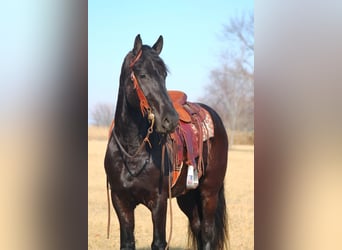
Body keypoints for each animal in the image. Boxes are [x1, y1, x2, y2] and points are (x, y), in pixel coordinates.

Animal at [104, 35, 227, 250]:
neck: (132, 151)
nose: (170, 119)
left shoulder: (159, 201)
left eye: (164, 75)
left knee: (207, 233)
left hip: (209, 192)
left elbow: (159, 242)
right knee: (198, 227)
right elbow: (127, 242)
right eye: (142, 75)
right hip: (188, 196)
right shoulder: (120, 200)